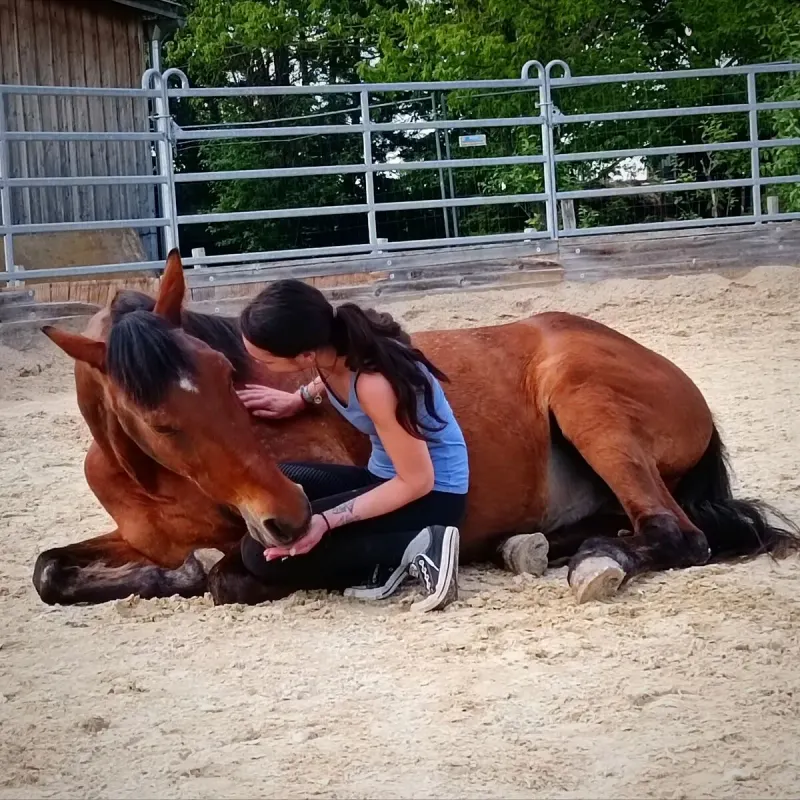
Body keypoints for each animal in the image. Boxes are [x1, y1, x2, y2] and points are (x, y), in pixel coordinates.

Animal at [32, 250, 798, 608]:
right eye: (162, 421)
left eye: (227, 375)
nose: (290, 515)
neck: (150, 476)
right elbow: (47, 571)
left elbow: (227, 575)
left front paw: (198, 571)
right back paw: (527, 546)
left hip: (587, 404)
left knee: (675, 534)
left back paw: (595, 563)